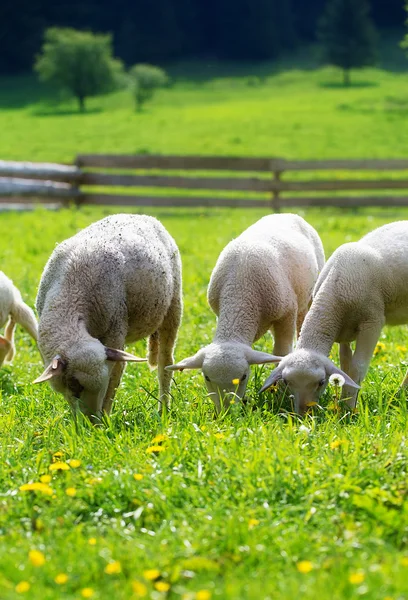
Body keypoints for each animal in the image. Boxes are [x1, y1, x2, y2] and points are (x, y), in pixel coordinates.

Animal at [32, 213, 182, 420]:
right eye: (74, 386)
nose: (92, 423)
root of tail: (144, 216)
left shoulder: (115, 330)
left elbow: (114, 380)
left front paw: (105, 419)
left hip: (173, 306)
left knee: (165, 363)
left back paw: (163, 410)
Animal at [166, 213, 326, 414]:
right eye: (207, 377)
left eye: (243, 376)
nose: (226, 413)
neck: (240, 291)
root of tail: (286, 214)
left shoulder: (286, 315)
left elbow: (281, 352)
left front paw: (279, 395)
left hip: (308, 296)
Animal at [258, 219, 408, 412]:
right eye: (286, 381)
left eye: (321, 382)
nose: (303, 414)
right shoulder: (344, 331)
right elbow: (345, 365)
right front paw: (344, 403)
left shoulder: (372, 322)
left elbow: (357, 367)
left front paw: (349, 409)